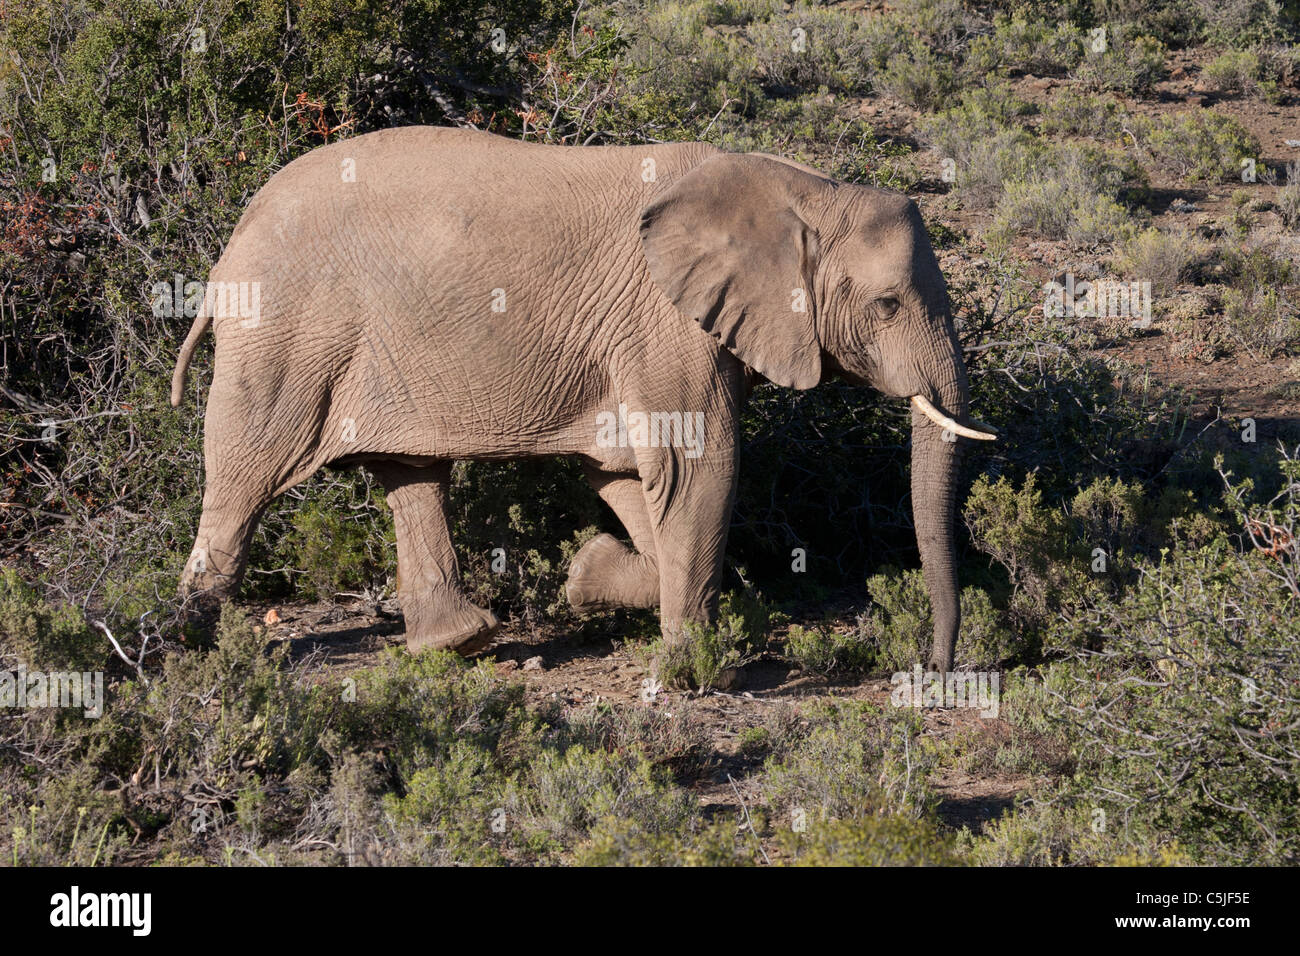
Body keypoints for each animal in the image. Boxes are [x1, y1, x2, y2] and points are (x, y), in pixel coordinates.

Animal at [170, 125, 993, 671]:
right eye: (887, 305)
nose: (936, 665)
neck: (802, 190)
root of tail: (233, 239)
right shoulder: (662, 321)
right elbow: (700, 467)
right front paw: (695, 667)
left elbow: (628, 476)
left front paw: (590, 574)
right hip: (288, 332)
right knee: (245, 473)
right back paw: (187, 640)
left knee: (411, 476)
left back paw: (460, 641)